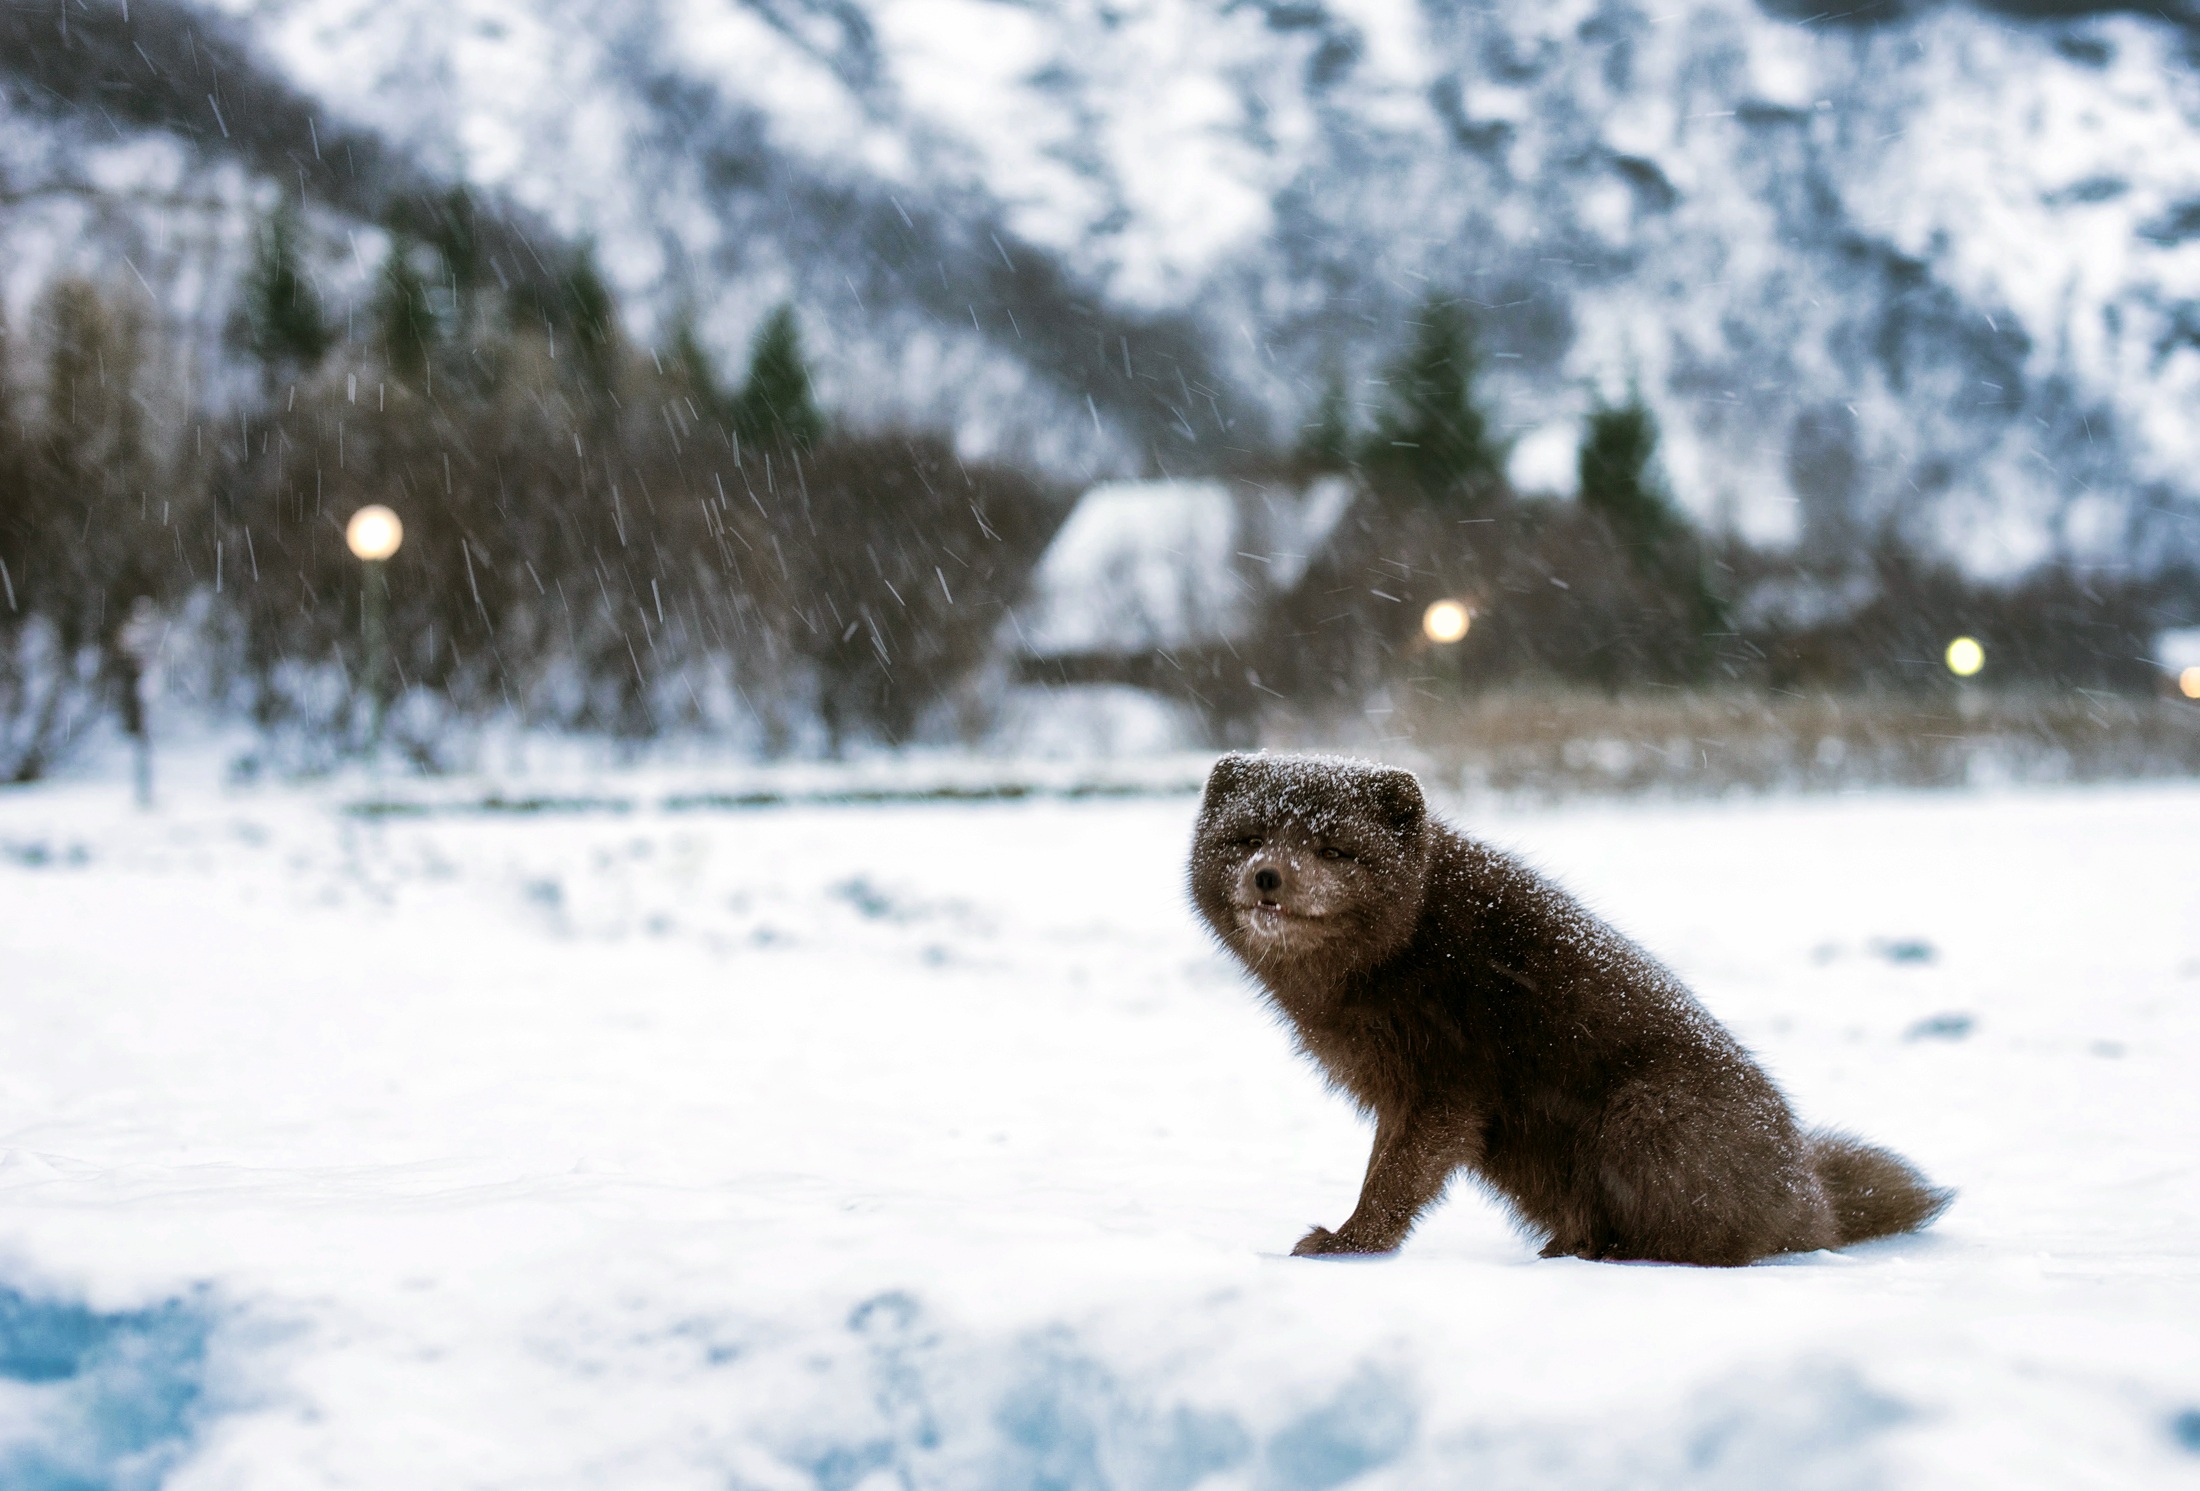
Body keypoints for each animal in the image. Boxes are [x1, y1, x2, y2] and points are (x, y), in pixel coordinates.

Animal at [1196, 752, 1953, 1266]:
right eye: (1248, 837)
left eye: (1333, 848)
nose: (1268, 876)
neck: (1410, 944)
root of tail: (1813, 1197)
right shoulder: (1399, 1090)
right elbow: (1386, 1165)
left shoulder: (1444, 1083)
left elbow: (1396, 1178)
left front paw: (1348, 1245)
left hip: (1645, 1113)